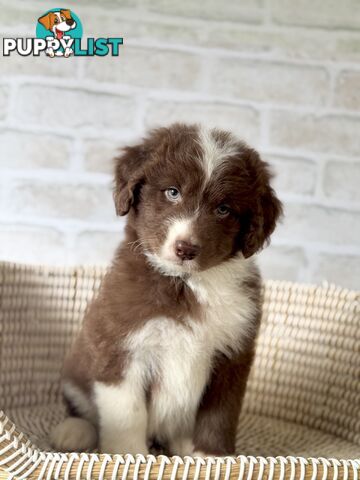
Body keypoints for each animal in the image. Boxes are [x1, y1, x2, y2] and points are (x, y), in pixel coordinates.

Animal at [51, 124, 284, 458]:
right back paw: (74, 431)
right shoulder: (120, 347)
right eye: (172, 192)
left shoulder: (232, 356)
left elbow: (219, 415)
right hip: (77, 367)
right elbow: (129, 413)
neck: (187, 284)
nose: (186, 248)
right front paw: (130, 456)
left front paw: (211, 456)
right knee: (79, 406)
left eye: (224, 209)